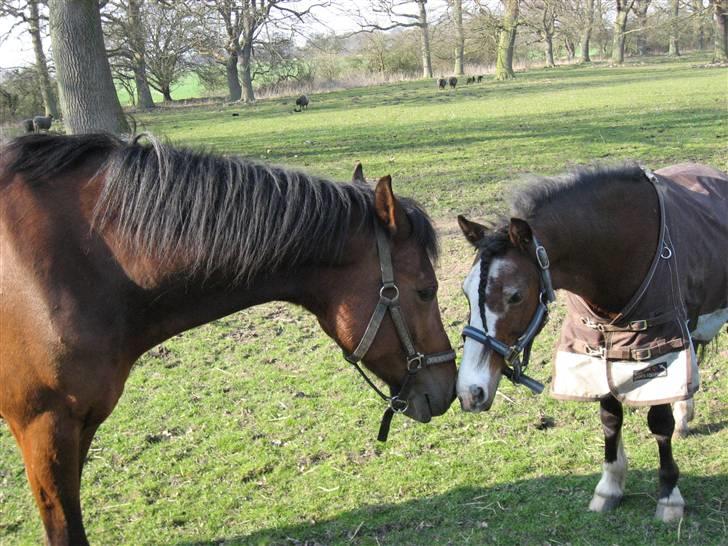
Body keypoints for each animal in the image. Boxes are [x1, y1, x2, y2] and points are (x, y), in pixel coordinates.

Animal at [456, 164, 728, 520]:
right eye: (465, 292)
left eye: (514, 295)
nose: (470, 392)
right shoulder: (596, 351)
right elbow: (610, 420)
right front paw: (610, 486)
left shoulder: (658, 348)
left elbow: (659, 423)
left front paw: (669, 495)